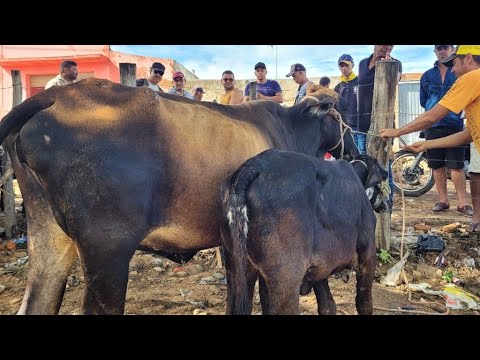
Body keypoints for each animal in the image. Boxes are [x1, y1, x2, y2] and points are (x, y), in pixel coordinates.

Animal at [0, 79, 358, 316]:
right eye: (339, 110)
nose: (353, 148)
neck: (289, 130)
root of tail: (55, 97)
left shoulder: (231, 246)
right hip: (106, 250)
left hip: (49, 237)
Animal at [219, 150, 388, 316]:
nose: (386, 203)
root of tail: (253, 166)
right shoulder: (368, 255)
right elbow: (364, 303)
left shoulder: (320, 269)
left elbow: (328, 306)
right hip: (286, 279)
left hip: (237, 270)